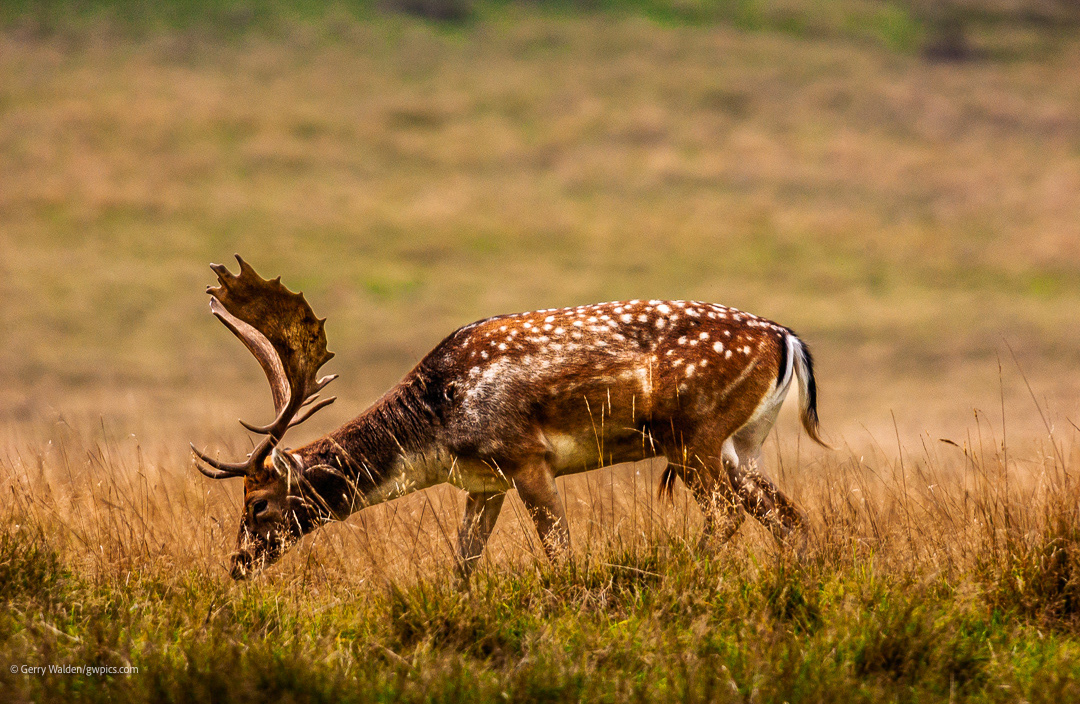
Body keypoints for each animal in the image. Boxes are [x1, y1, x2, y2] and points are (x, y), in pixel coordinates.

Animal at [191, 256, 828, 580]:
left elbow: (560, 554)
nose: (237, 564)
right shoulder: (483, 483)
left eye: (257, 503)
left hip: (694, 434)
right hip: (742, 445)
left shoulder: (527, 455)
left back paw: (683, 572)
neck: (439, 427)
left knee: (728, 515)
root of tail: (788, 340)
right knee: (790, 520)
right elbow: (462, 564)